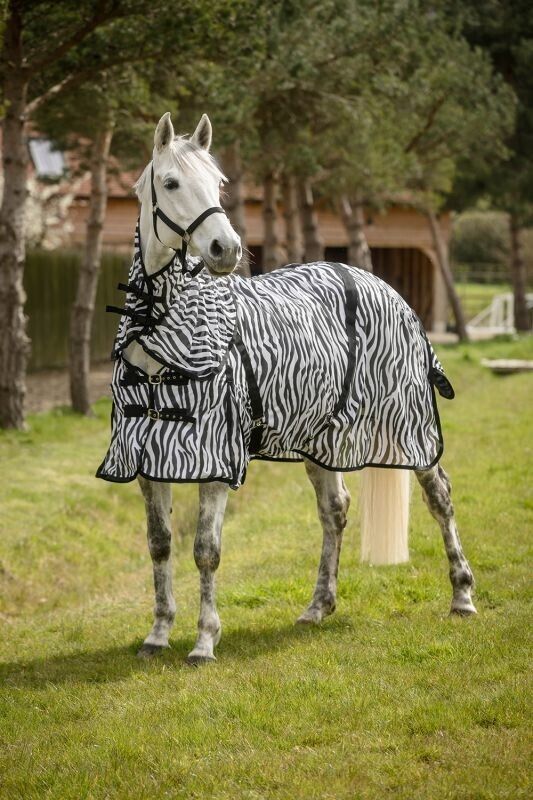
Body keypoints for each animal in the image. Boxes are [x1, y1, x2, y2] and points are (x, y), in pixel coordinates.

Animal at [98, 112, 476, 665]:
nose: (227, 249)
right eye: (170, 183)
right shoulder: (149, 460)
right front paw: (158, 634)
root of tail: (381, 285)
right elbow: (160, 543)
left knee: (441, 499)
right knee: (335, 511)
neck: (166, 341)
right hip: (323, 438)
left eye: (219, 183)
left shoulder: (218, 457)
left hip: (409, 429)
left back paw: (462, 596)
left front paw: (204, 641)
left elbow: (206, 550)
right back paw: (318, 606)